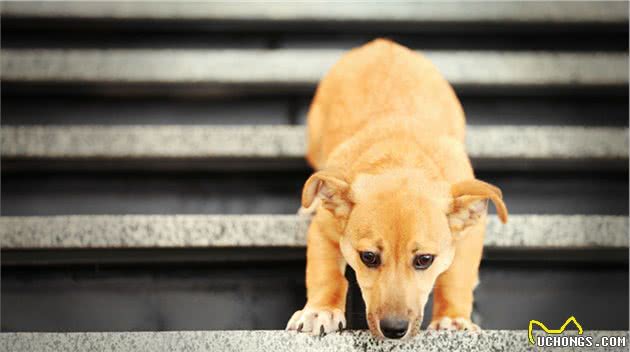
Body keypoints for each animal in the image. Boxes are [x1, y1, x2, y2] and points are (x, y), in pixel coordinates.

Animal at [286, 40, 508, 340]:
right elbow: (325, 274)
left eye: (424, 260)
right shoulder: (324, 229)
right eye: (368, 257)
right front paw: (320, 310)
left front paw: (452, 318)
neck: (401, 158)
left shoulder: (470, 234)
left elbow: (457, 278)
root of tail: (381, 44)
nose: (394, 330)